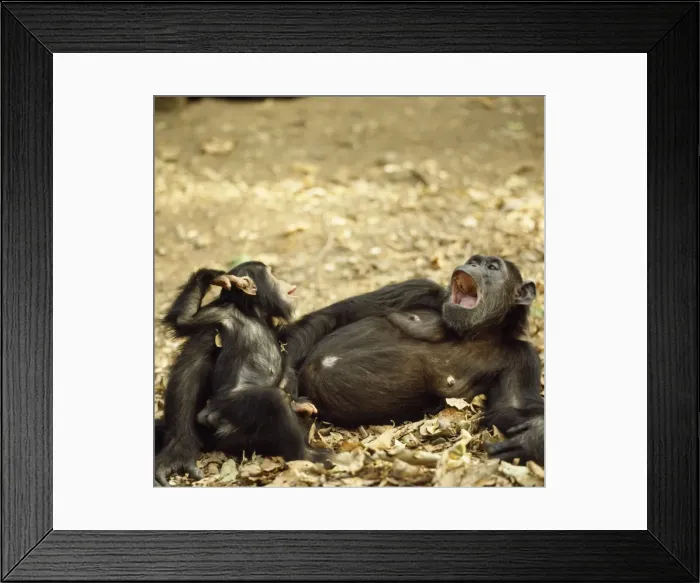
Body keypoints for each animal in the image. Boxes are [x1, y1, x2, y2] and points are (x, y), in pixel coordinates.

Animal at [155, 261, 325, 487]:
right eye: (271, 275)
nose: (283, 281)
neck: (254, 315)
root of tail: (212, 416)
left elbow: (287, 366)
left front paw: (299, 403)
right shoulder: (221, 314)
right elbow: (185, 320)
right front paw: (214, 277)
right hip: (230, 406)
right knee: (274, 400)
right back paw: (307, 455)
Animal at [282, 255, 544, 465]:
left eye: (491, 267)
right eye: (474, 260)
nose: (471, 265)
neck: (474, 332)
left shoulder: (522, 358)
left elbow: (511, 408)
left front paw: (533, 439)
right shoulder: (418, 288)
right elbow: (337, 314)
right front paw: (282, 382)